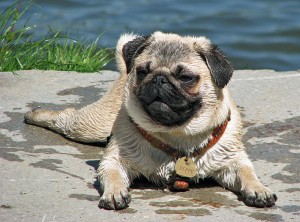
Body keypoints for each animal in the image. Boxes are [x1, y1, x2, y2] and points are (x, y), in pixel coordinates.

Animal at [24, 31, 278, 210]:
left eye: (186, 78)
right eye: (143, 71)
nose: (159, 79)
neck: (177, 135)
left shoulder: (233, 161)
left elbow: (247, 173)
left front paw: (259, 189)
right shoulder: (115, 160)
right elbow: (112, 174)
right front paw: (114, 193)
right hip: (91, 126)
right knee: (65, 117)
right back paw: (35, 114)